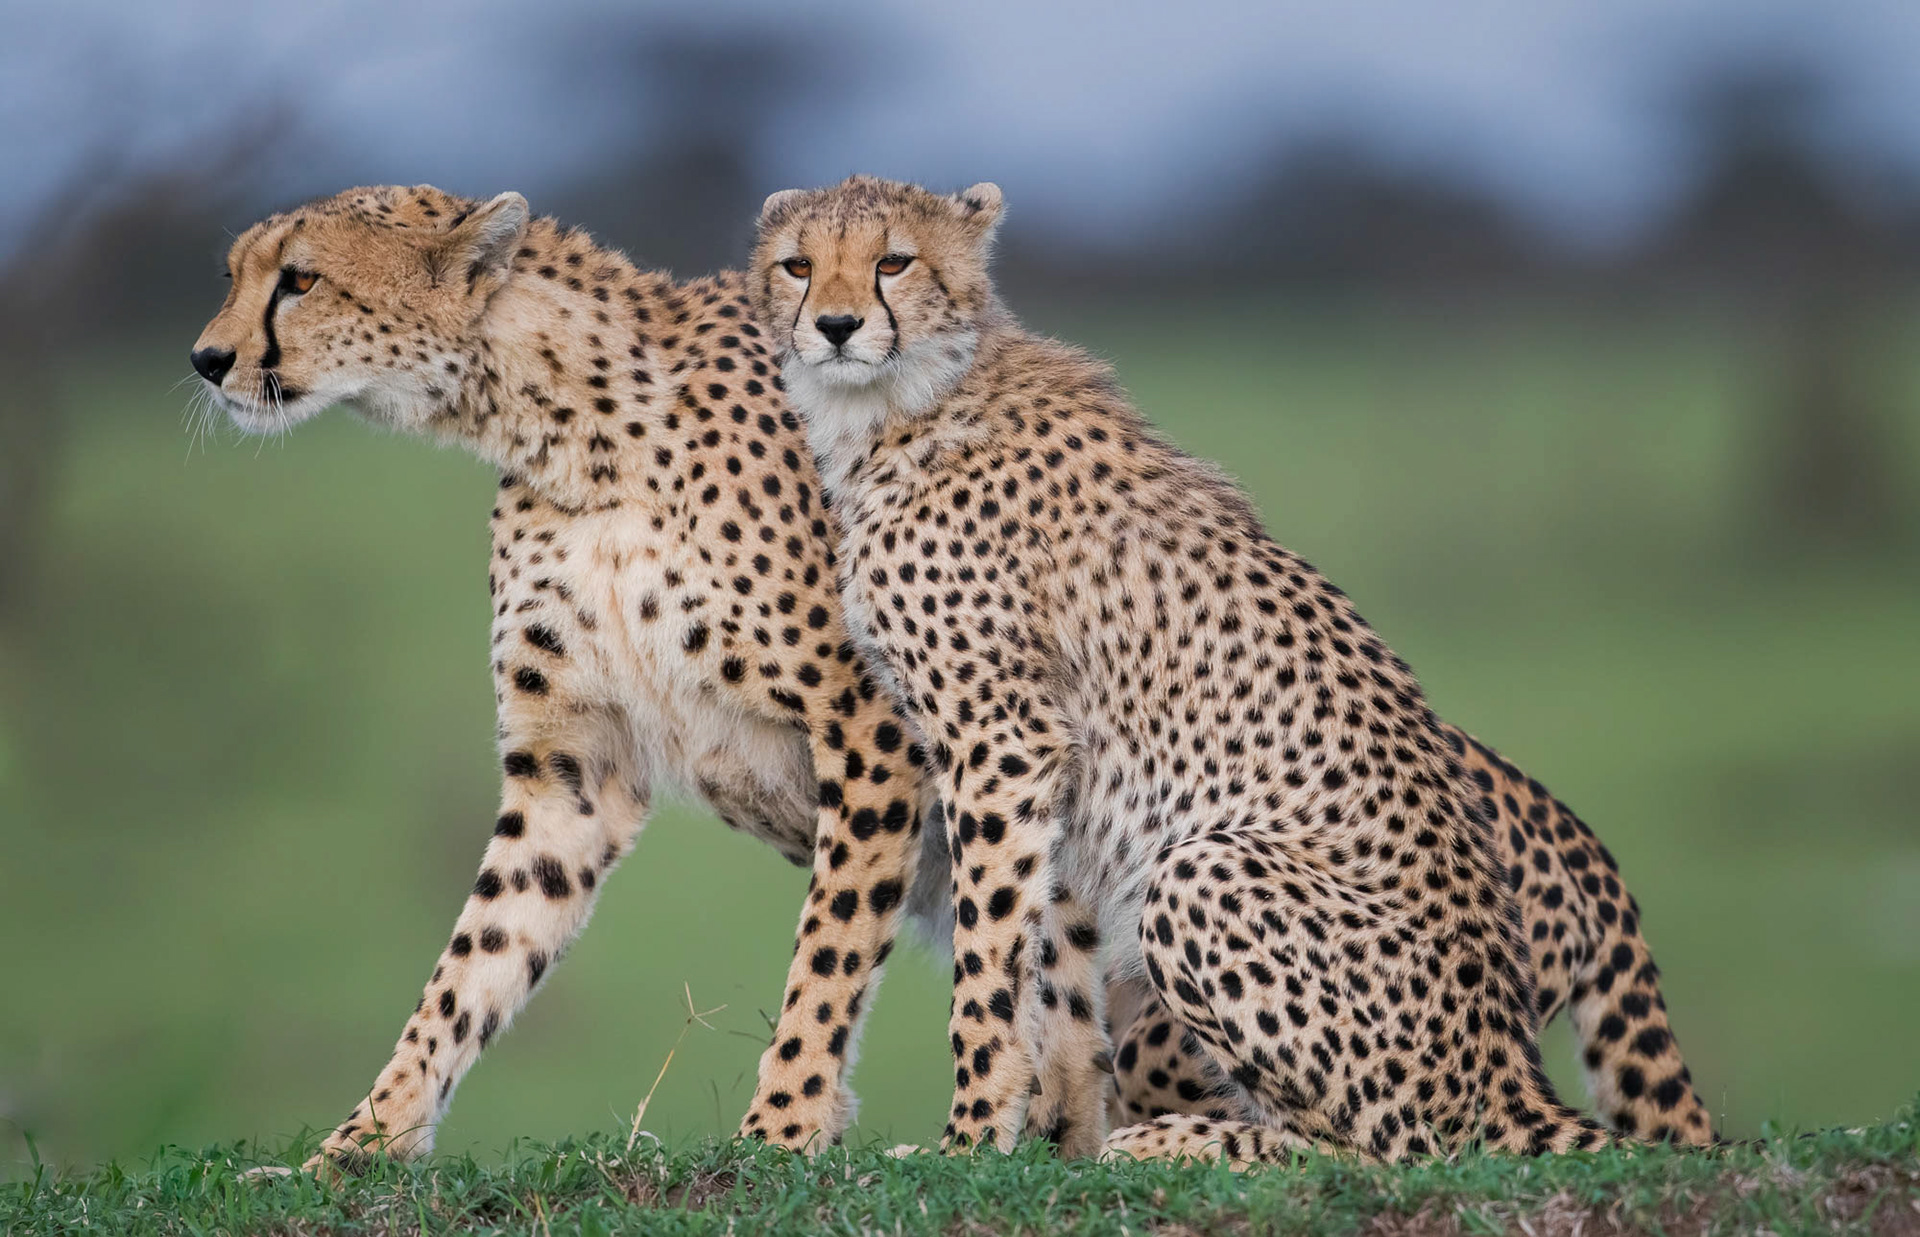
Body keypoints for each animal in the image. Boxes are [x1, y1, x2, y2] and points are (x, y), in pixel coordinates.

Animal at [751, 173, 1715, 1164]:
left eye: (893, 261)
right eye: (797, 265)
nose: (833, 325)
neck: (905, 403)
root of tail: (1506, 1073)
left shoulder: (1002, 737)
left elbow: (990, 969)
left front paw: (973, 1139)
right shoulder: (1048, 769)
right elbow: (1051, 963)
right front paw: (1049, 1139)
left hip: (1202, 871)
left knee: (1384, 1146)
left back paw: (1178, 1142)